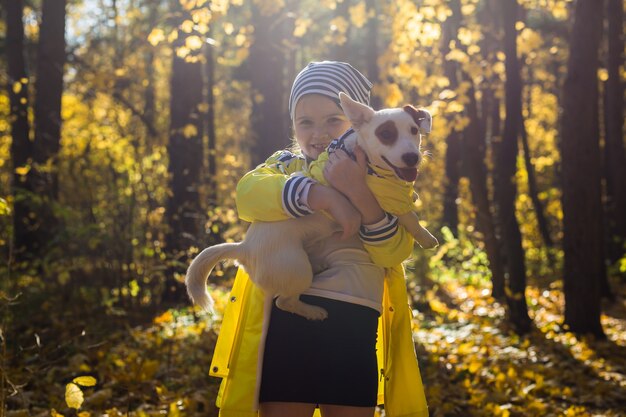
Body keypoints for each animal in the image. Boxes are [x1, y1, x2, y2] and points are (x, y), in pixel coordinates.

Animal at [185, 92, 436, 320]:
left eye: (414, 131)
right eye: (385, 134)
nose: (412, 158)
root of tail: (244, 248)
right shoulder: (386, 200)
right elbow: (411, 219)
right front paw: (426, 238)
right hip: (296, 269)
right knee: (284, 301)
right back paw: (313, 312)